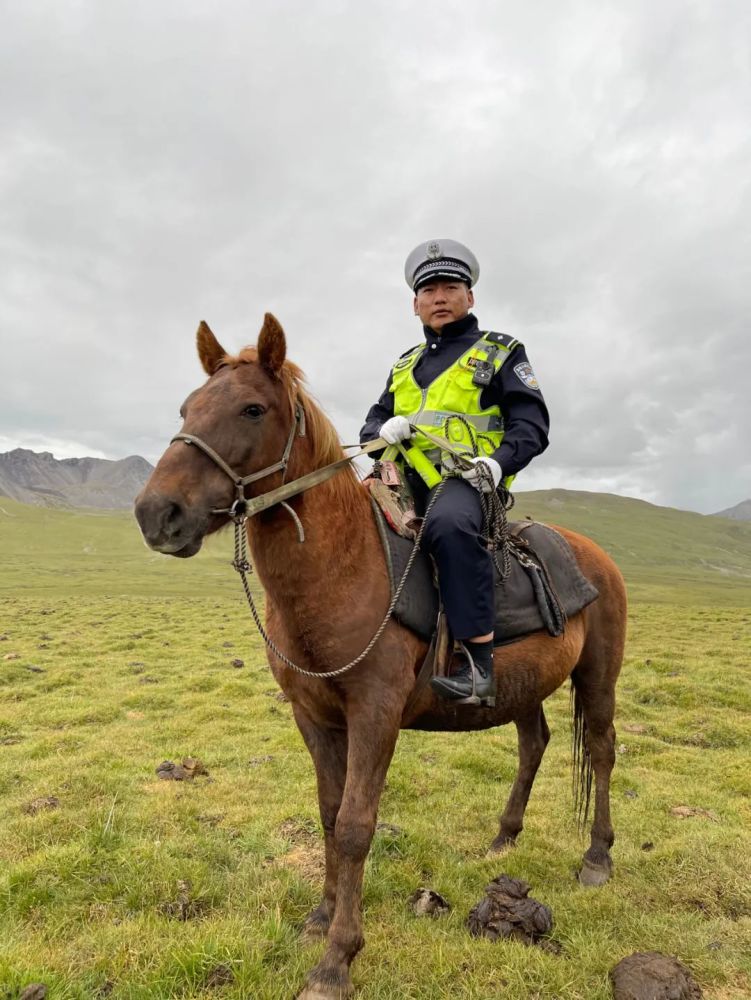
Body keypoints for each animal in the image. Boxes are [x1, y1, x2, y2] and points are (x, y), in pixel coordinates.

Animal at [137, 314, 628, 1000]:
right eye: (186, 407)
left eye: (252, 409)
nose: (157, 514)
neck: (343, 569)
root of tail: (595, 556)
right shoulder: (314, 715)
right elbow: (327, 814)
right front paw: (320, 917)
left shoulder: (375, 713)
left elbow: (354, 826)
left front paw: (337, 960)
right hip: (521, 686)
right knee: (535, 743)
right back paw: (504, 838)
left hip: (599, 674)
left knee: (603, 751)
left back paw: (597, 856)